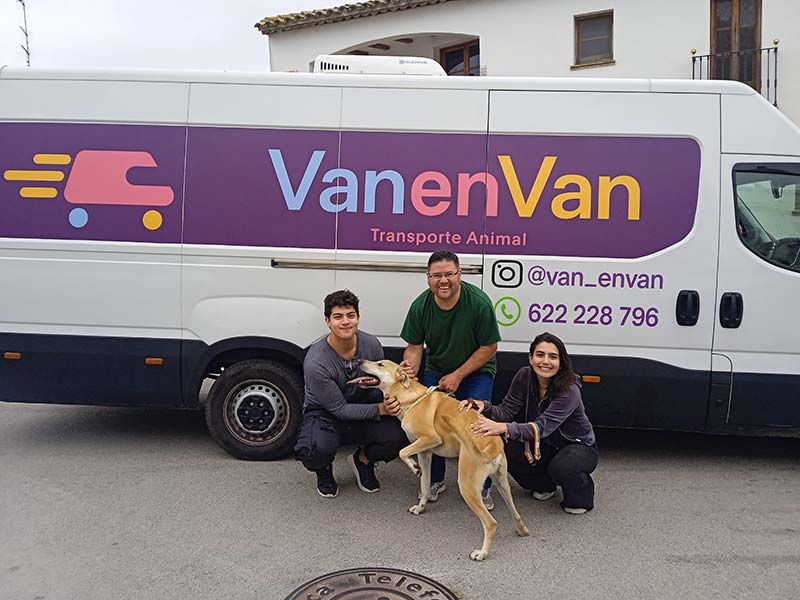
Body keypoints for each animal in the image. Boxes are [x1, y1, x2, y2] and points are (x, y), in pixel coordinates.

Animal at [352, 359, 529, 561]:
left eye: (380, 364)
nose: (359, 361)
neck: (412, 399)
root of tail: (493, 444)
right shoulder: (425, 453)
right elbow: (424, 485)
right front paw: (421, 506)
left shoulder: (430, 439)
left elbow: (403, 452)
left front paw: (413, 467)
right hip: (502, 483)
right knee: (515, 512)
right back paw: (521, 530)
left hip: (467, 487)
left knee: (491, 523)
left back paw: (482, 553)